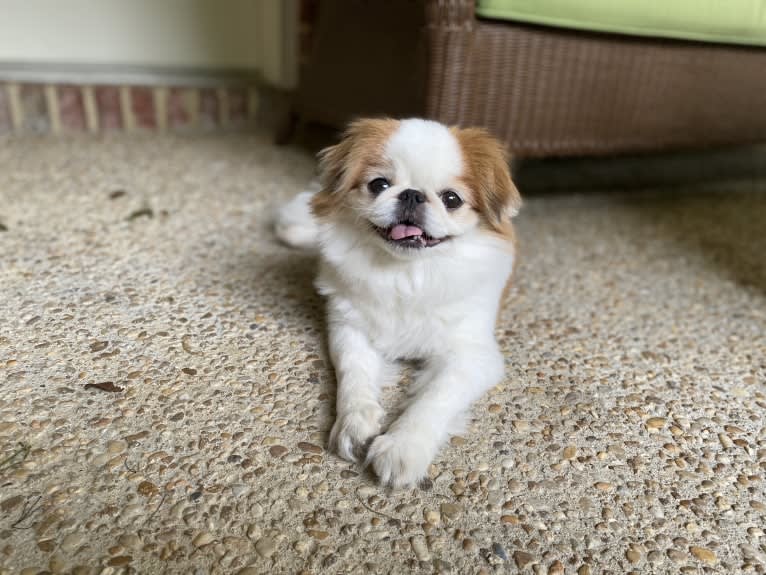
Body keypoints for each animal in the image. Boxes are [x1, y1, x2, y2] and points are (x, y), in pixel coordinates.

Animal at [276, 119, 520, 488]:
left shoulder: (472, 357)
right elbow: (354, 376)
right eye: (379, 184)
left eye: (451, 199)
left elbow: (434, 398)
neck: (407, 274)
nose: (412, 194)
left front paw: (402, 448)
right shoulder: (349, 329)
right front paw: (355, 424)